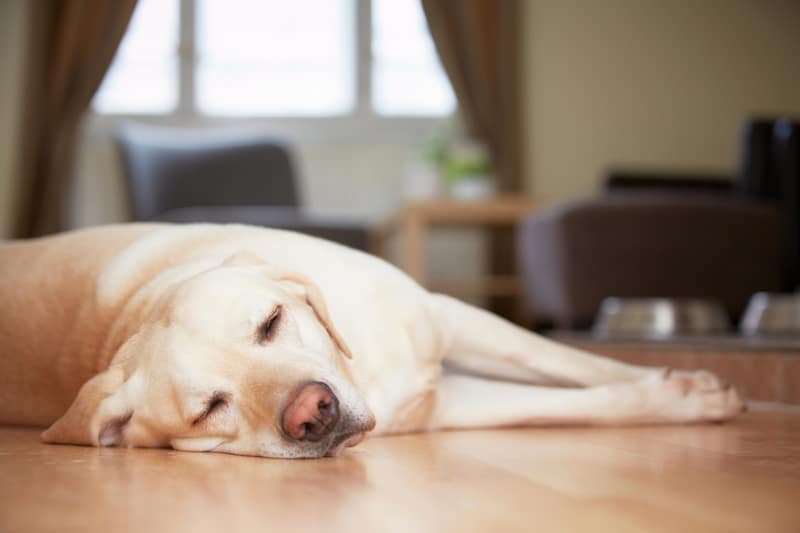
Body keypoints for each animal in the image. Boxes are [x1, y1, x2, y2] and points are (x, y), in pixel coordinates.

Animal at [0, 223, 744, 458]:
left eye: (271, 321)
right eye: (209, 409)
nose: (313, 413)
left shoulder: (450, 316)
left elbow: (572, 361)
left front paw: (687, 387)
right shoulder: (447, 406)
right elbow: (567, 404)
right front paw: (679, 398)